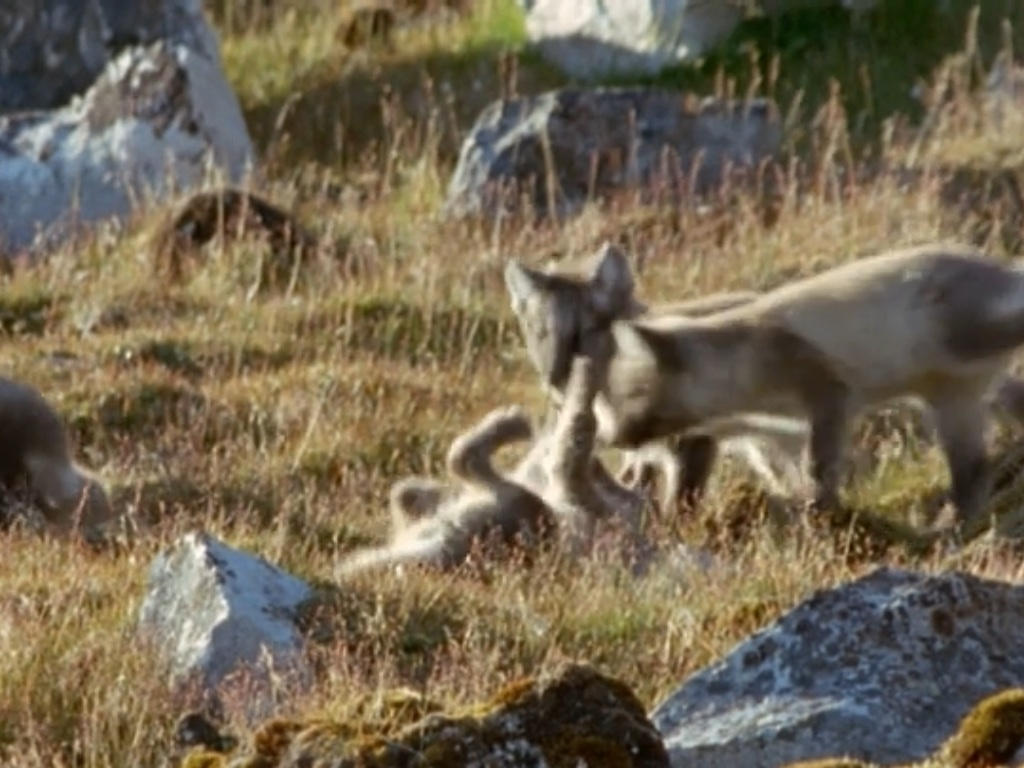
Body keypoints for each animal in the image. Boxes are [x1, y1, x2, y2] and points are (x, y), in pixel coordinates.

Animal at [511, 241, 1024, 537]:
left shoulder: (826, 394)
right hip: (950, 399)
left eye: (585, 336)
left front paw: (820, 512)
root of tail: (995, 267)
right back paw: (957, 519)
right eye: (540, 335)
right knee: (975, 468)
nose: (611, 437)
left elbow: (817, 467)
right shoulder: (768, 427)